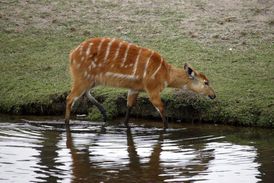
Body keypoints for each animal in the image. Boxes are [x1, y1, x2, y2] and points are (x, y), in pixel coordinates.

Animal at [65, 37, 216, 127]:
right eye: (206, 82)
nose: (213, 95)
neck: (166, 73)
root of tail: (72, 54)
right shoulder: (152, 90)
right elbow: (162, 110)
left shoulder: (134, 89)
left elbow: (129, 108)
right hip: (82, 78)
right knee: (70, 98)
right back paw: (67, 123)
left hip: (92, 80)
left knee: (84, 93)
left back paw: (104, 114)